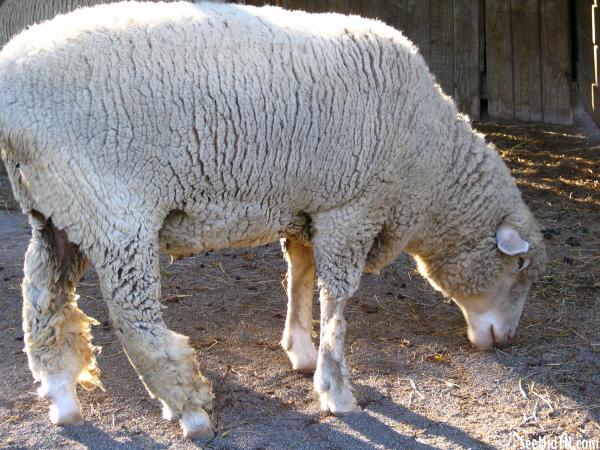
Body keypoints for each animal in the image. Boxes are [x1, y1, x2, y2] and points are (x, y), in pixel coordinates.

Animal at [0, 0, 544, 440]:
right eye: (519, 268)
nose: (507, 341)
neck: (428, 162)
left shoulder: (305, 208)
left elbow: (299, 275)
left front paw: (300, 352)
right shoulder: (350, 208)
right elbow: (338, 302)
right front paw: (336, 390)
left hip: (55, 210)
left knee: (42, 303)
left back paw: (62, 397)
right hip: (112, 209)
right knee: (134, 320)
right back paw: (190, 409)